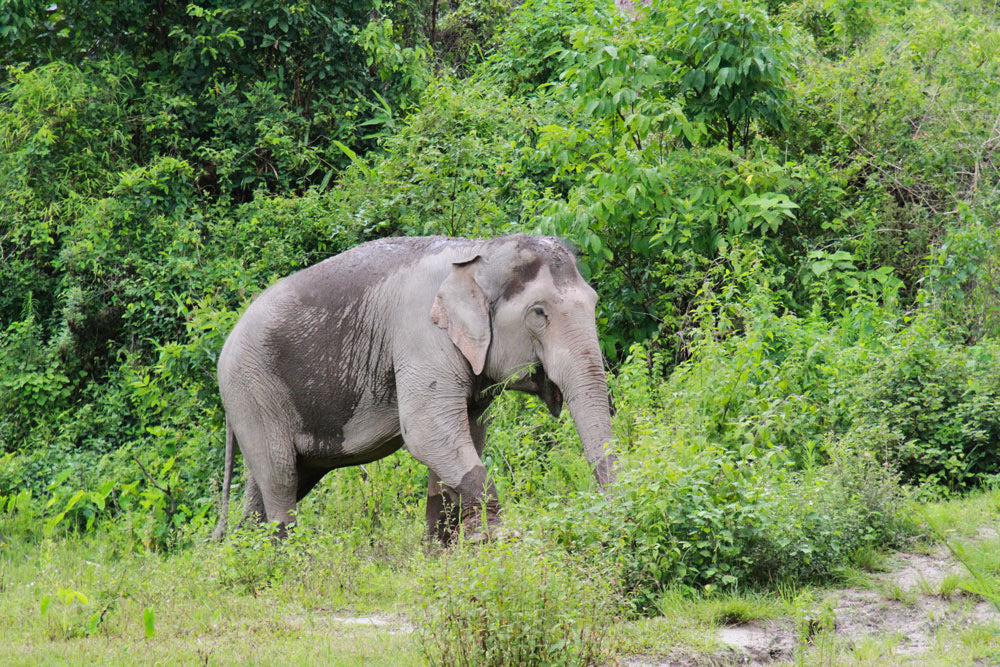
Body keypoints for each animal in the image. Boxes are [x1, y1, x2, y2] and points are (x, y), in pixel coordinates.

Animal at [212, 234, 616, 543]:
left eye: (595, 302)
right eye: (539, 313)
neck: (478, 251)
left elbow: (465, 438)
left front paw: (442, 553)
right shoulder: (422, 337)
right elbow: (426, 432)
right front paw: (495, 541)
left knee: (272, 486)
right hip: (252, 390)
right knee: (281, 480)